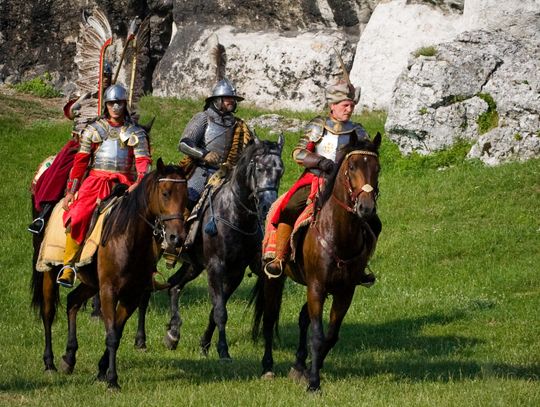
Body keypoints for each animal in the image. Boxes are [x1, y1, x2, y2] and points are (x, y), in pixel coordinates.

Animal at [31, 159, 189, 388]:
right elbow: (112, 333)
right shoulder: (108, 290)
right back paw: (49, 363)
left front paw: (101, 371)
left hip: (91, 283)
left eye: (185, 195)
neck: (128, 237)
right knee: (48, 313)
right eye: (166, 193)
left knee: (72, 301)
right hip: (50, 271)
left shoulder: (131, 294)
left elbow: (117, 331)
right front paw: (112, 380)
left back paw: (69, 358)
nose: (177, 237)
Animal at [163, 137, 284, 360]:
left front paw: (205, 345)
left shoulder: (235, 271)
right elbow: (220, 311)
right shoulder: (215, 267)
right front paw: (223, 350)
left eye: (280, 171)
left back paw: (173, 334)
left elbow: (216, 309)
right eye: (259, 169)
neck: (235, 214)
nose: (268, 205)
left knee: (174, 285)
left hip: (194, 265)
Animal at [252, 134, 382, 392]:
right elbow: (318, 335)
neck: (337, 234)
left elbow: (330, 336)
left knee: (303, 318)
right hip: (274, 278)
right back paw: (268, 368)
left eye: (377, 168)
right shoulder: (316, 287)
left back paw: (299, 364)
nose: (366, 208)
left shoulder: (344, 291)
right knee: (269, 319)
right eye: (352, 167)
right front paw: (313, 383)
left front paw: (313, 367)